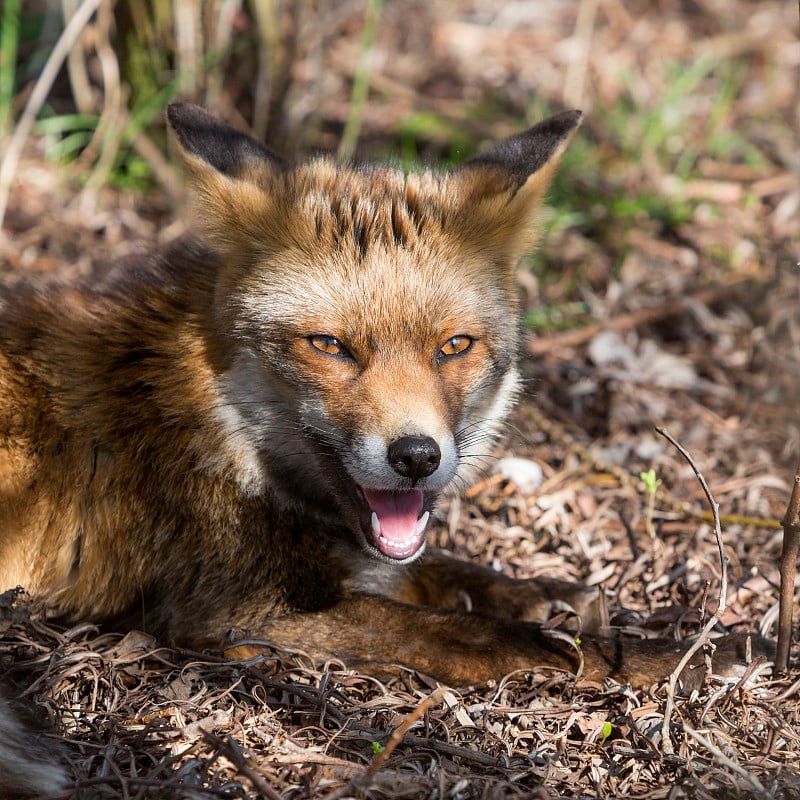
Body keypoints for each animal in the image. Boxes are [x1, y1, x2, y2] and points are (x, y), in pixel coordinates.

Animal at [0, 104, 768, 792]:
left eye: (453, 346)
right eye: (330, 346)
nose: (416, 457)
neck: (207, 422)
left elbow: (450, 575)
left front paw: (555, 598)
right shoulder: (232, 613)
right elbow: (475, 636)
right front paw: (683, 655)